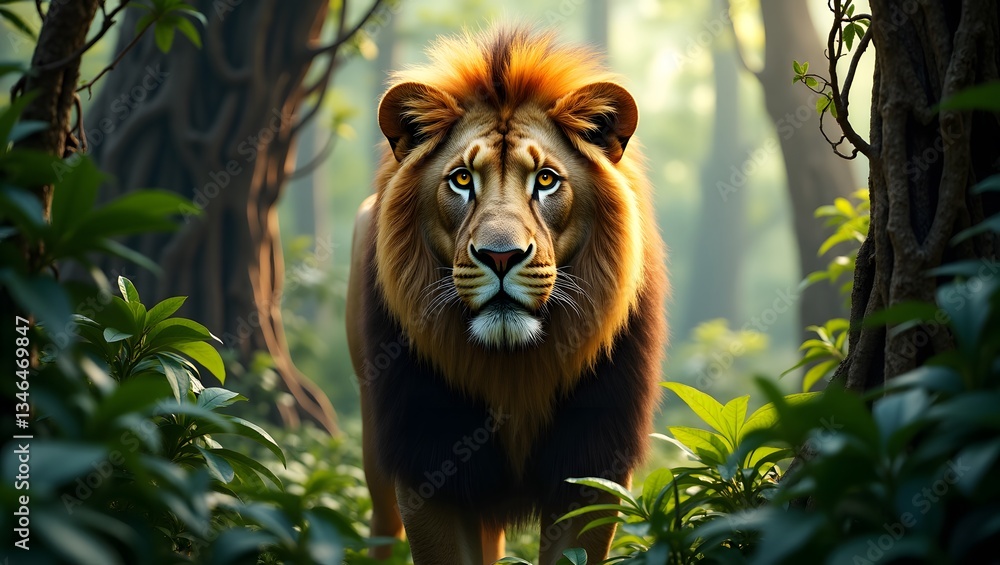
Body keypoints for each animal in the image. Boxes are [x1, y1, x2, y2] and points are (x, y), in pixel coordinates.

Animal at [346, 25, 668, 564]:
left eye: (546, 180)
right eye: (461, 179)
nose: (501, 257)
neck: (513, 369)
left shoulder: (591, 465)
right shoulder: (426, 460)